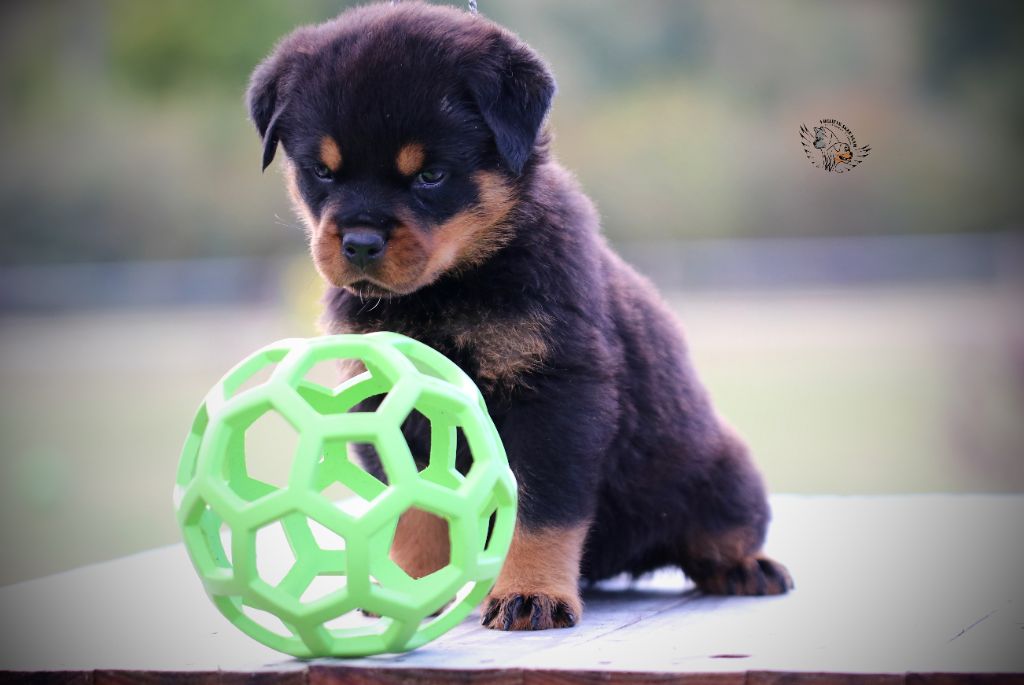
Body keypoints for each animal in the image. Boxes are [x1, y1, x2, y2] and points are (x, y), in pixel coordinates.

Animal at [248, 1, 792, 631]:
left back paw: (746, 568)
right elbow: (415, 505)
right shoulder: (389, 400)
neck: (445, 291)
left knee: (719, 532)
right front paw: (412, 585)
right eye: (322, 171)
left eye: (431, 175)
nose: (359, 243)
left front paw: (531, 594)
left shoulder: (554, 395)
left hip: (719, 469)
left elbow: (539, 513)